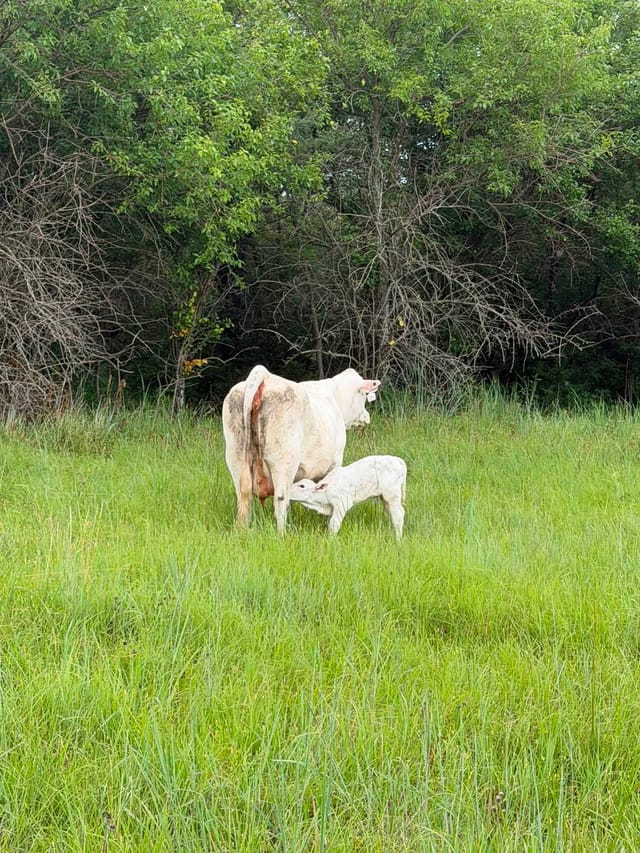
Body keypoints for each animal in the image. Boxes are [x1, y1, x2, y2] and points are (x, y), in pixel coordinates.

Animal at [222, 364, 380, 533]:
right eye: (364, 395)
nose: (367, 416)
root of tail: (266, 376)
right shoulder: (335, 461)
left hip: (236, 458)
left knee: (244, 498)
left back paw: (242, 531)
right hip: (283, 462)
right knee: (280, 499)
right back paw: (282, 533)